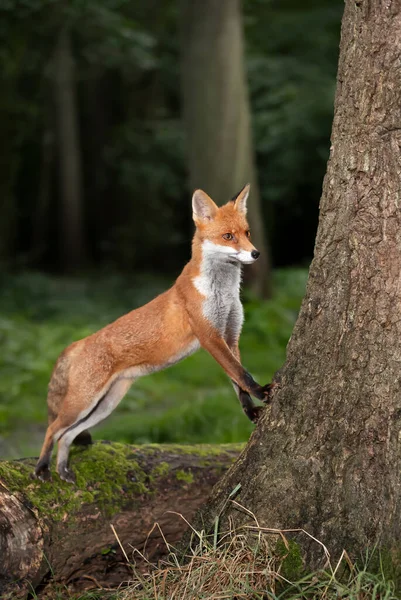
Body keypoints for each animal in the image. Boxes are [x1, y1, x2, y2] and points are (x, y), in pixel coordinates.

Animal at [35, 185, 272, 486]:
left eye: (248, 232)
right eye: (228, 236)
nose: (256, 254)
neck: (224, 293)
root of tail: (79, 342)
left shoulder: (231, 336)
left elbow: (238, 383)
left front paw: (251, 411)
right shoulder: (210, 338)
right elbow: (242, 374)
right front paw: (263, 392)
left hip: (105, 406)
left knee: (66, 435)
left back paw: (63, 470)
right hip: (82, 403)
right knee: (52, 428)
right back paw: (42, 468)